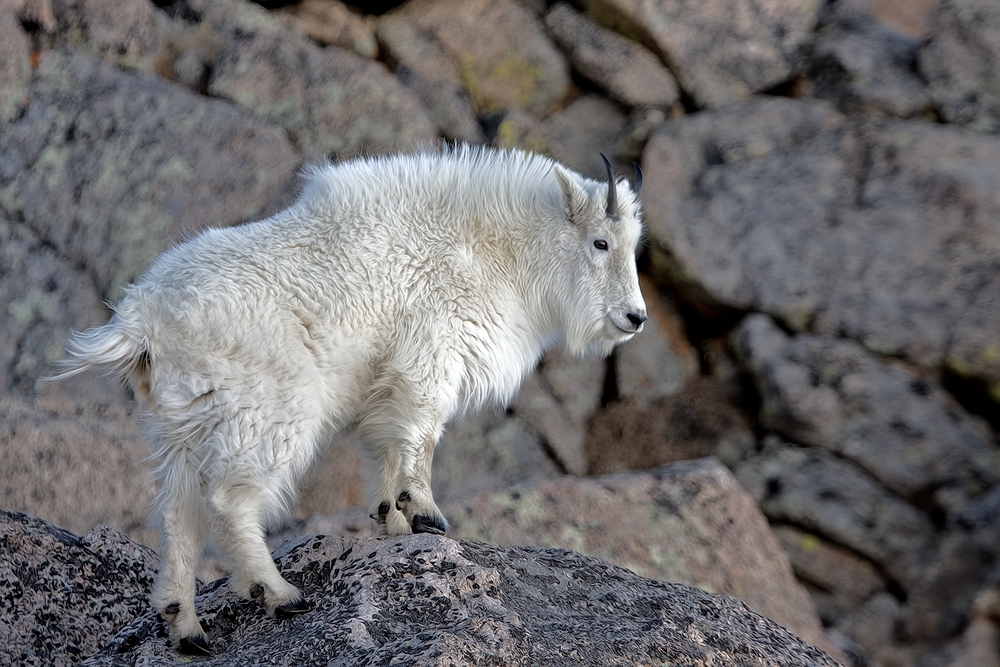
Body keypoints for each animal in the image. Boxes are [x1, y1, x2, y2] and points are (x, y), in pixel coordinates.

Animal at [56, 145, 648, 652]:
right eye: (601, 242)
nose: (635, 318)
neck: (492, 248)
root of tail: (142, 321)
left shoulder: (387, 385)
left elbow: (385, 446)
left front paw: (392, 520)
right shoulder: (431, 358)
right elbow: (421, 437)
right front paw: (425, 514)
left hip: (181, 421)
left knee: (178, 511)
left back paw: (186, 627)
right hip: (270, 408)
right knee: (229, 500)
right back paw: (280, 595)